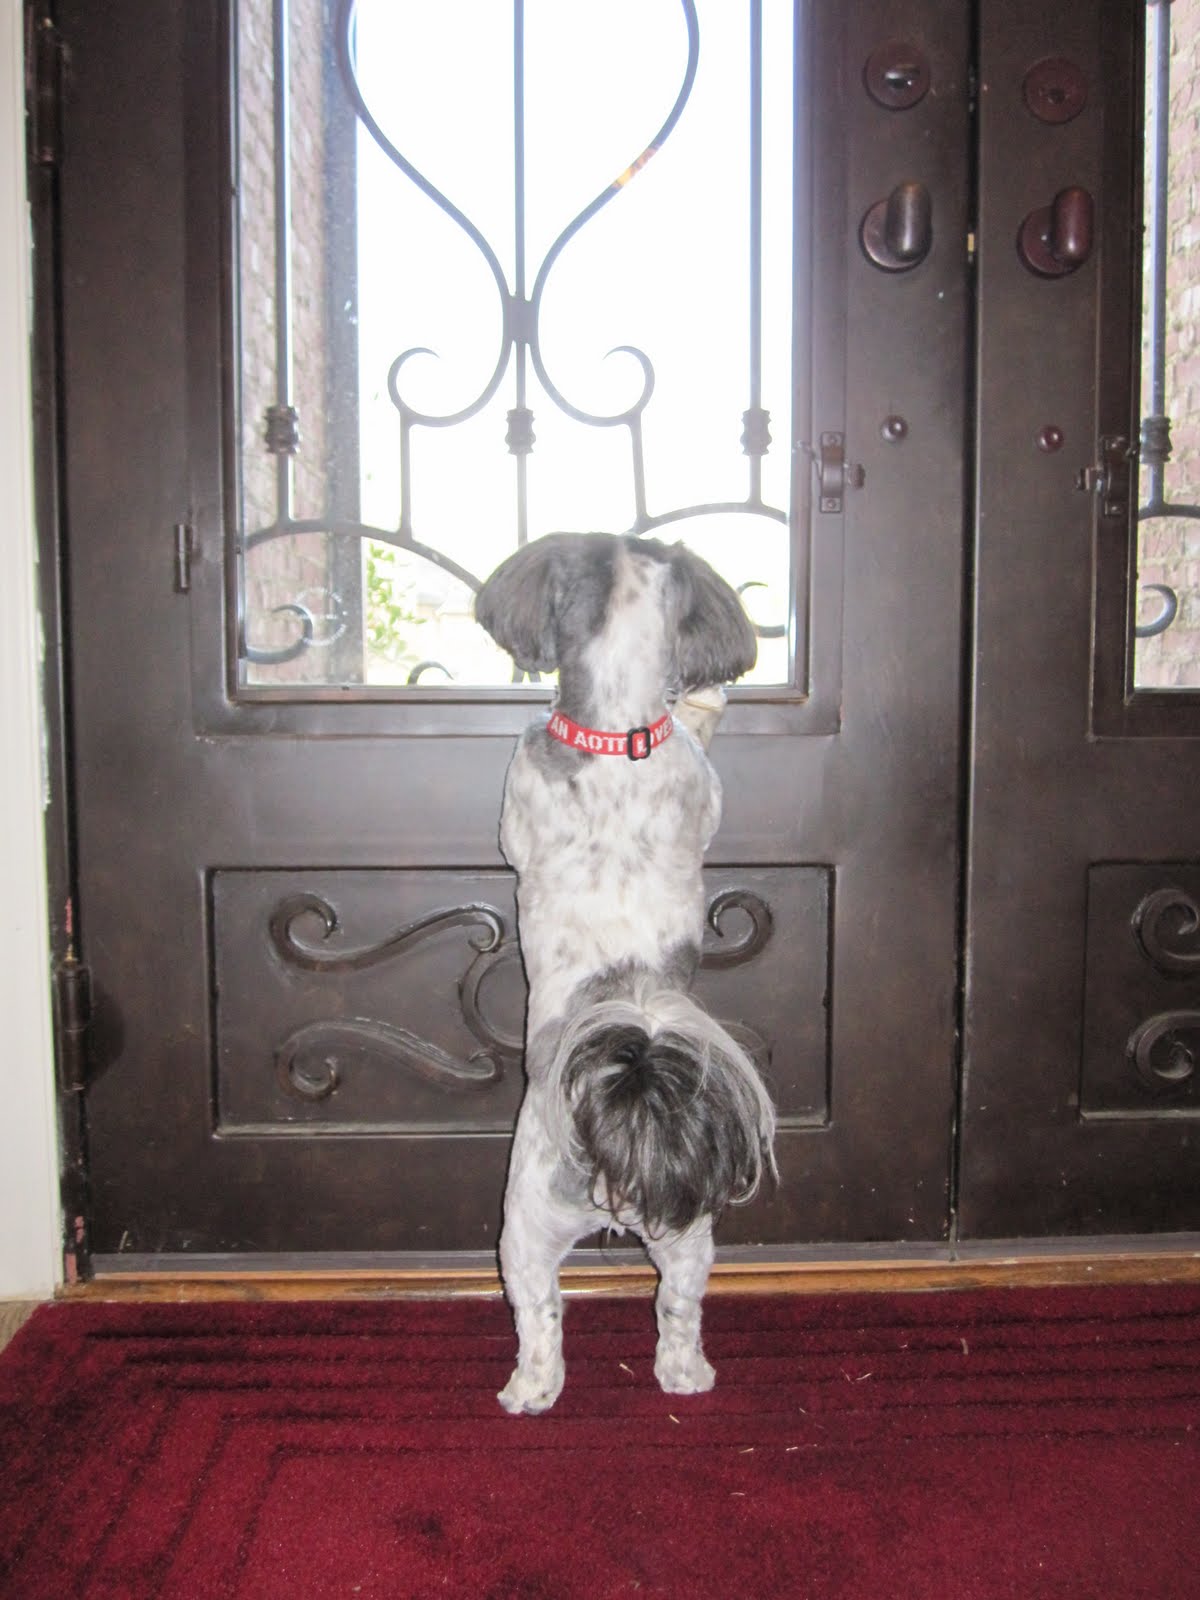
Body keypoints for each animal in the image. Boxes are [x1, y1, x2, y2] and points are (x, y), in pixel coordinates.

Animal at [475, 531, 776, 1415]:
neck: (615, 729)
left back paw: (532, 1388)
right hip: (683, 1235)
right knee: (676, 1309)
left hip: (523, 1228)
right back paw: (681, 1374)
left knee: (541, 1316)